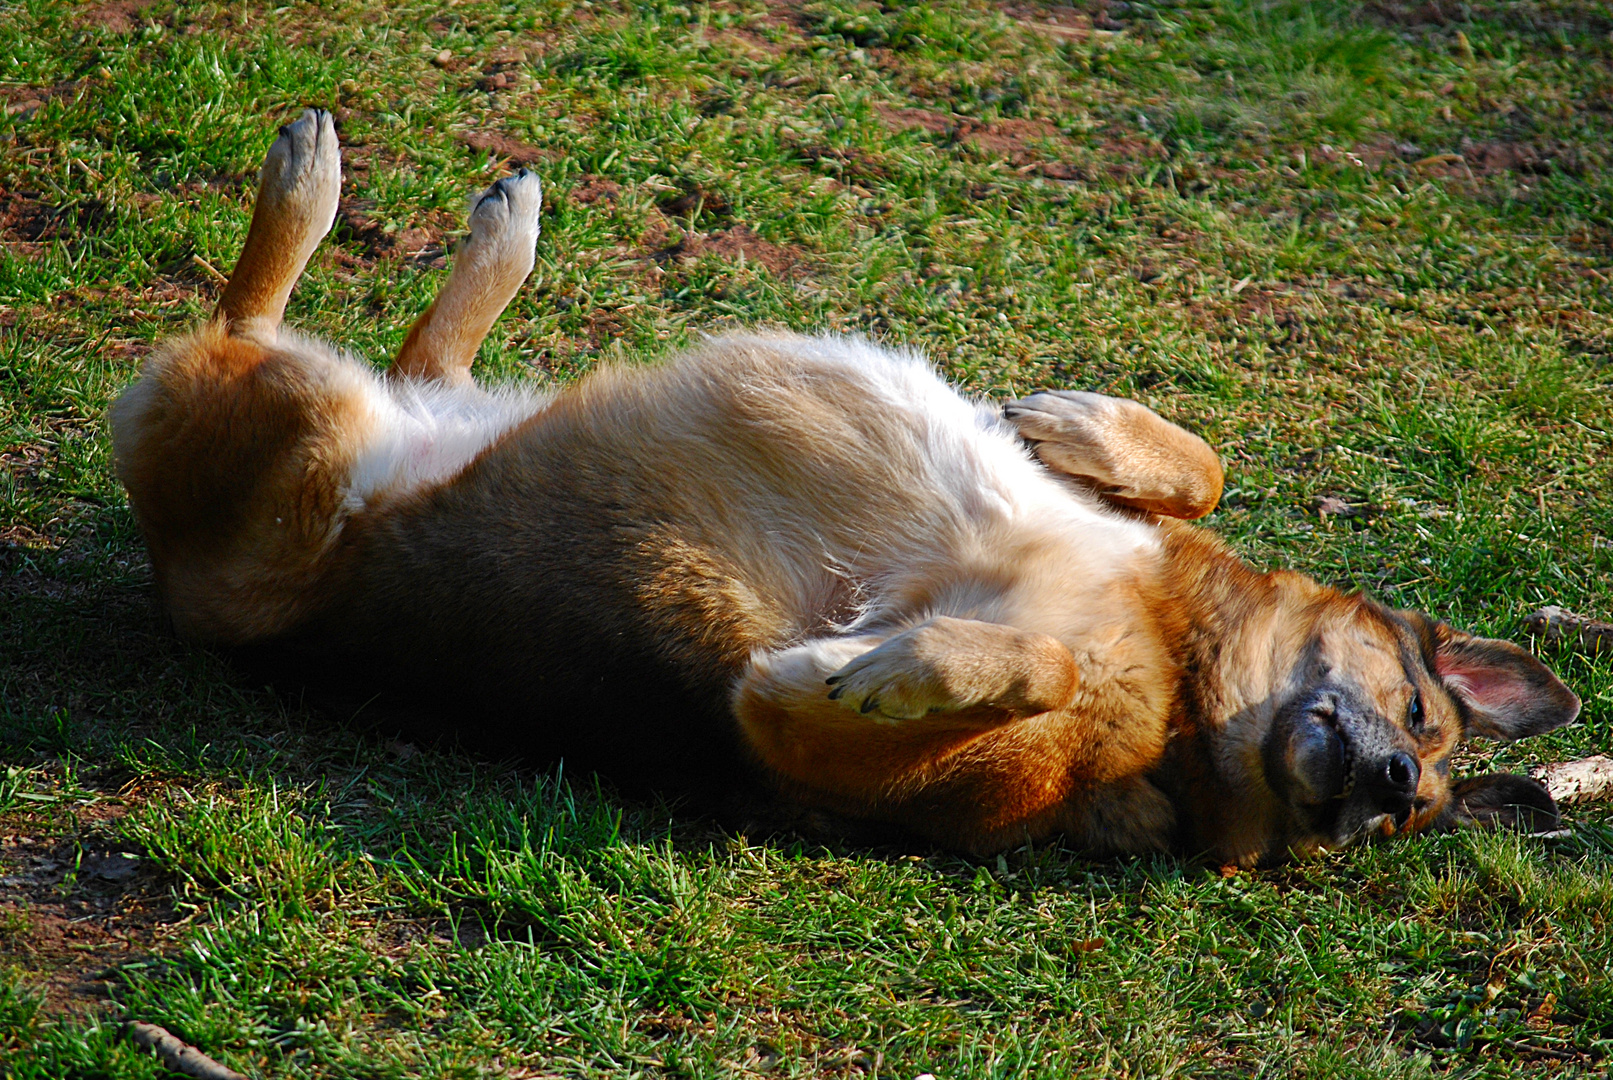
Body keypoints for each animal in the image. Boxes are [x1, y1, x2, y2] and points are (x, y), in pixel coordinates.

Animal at [107, 109, 1580, 870]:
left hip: (296, 433)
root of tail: (178, 582)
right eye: (1417, 722)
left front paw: (892, 668)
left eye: (1399, 819)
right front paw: (1072, 425)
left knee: (248, 325)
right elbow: (1196, 473)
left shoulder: (791, 736)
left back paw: (334, 185)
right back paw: (460, 212)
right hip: (337, 421)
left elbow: (1008, 667)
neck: (1175, 686)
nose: (1382, 784)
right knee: (384, 341)